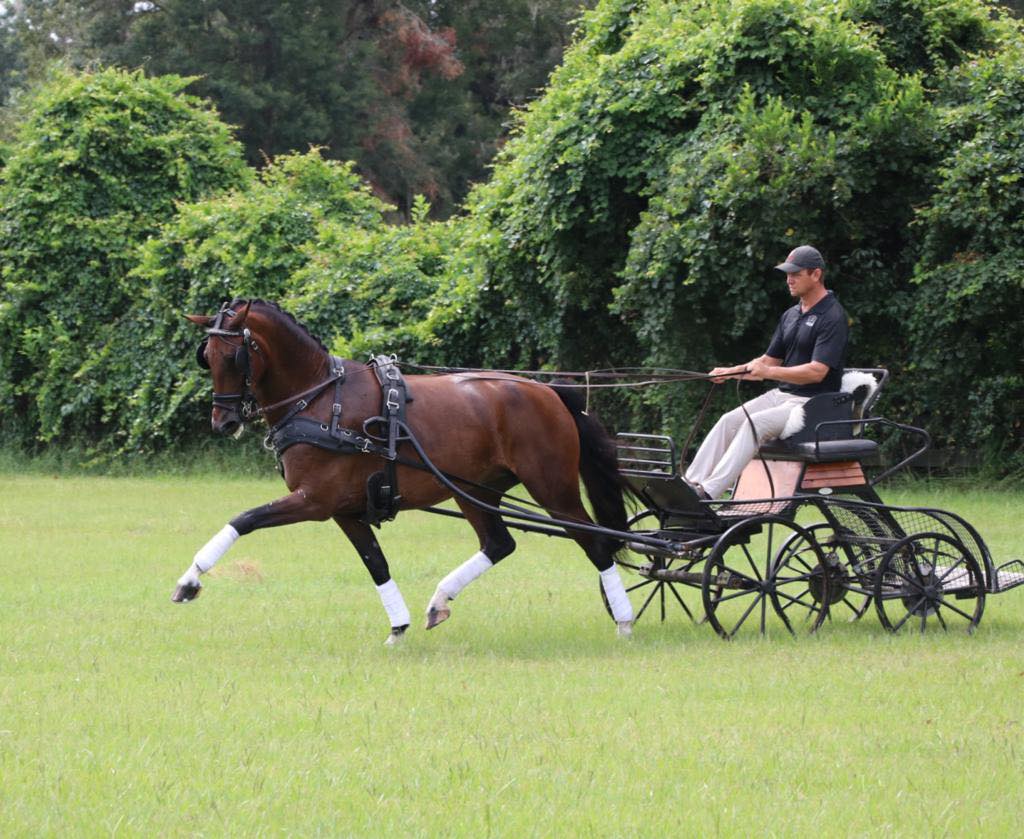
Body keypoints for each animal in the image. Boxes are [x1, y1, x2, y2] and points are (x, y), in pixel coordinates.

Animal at [174, 299, 638, 639]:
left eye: (235, 356)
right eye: (207, 356)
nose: (223, 422)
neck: (321, 399)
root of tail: (547, 389)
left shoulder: (313, 501)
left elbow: (244, 519)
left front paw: (190, 580)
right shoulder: (345, 510)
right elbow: (376, 563)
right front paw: (398, 626)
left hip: (552, 488)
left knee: (596, 544)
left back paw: (624, 621)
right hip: (474, 490)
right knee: (499, 544)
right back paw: (439, 601)